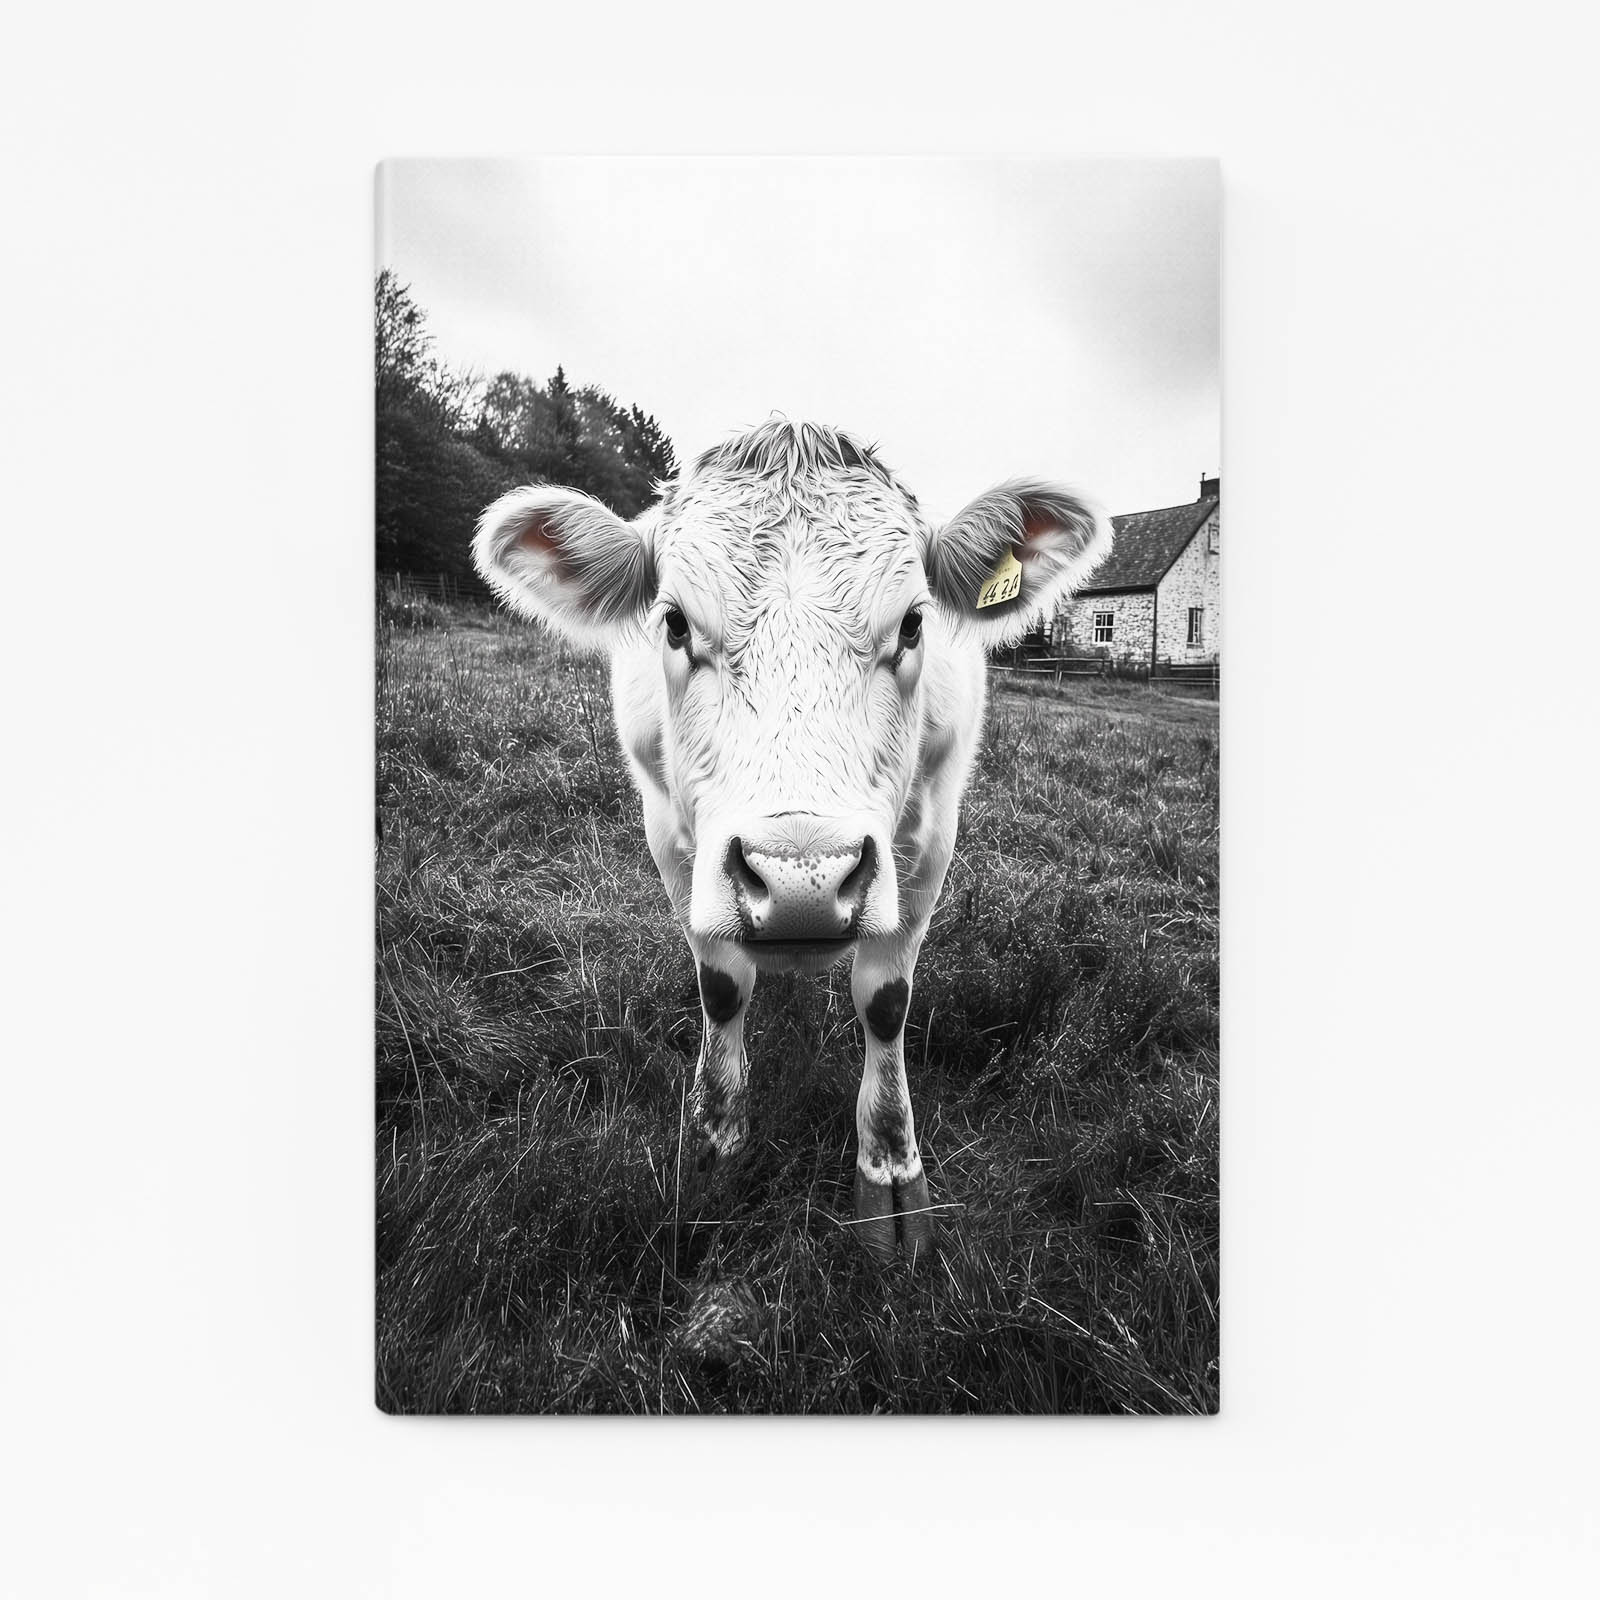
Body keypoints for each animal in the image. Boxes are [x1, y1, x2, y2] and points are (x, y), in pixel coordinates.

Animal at [473, 420, 1111, 1263]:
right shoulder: (670, 836)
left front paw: (890, 1171)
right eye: (674, 622)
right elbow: (721, 986)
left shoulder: (932, 834)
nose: (801, 883)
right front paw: (717, 1141)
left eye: (913, 623)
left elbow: (885, 1003)